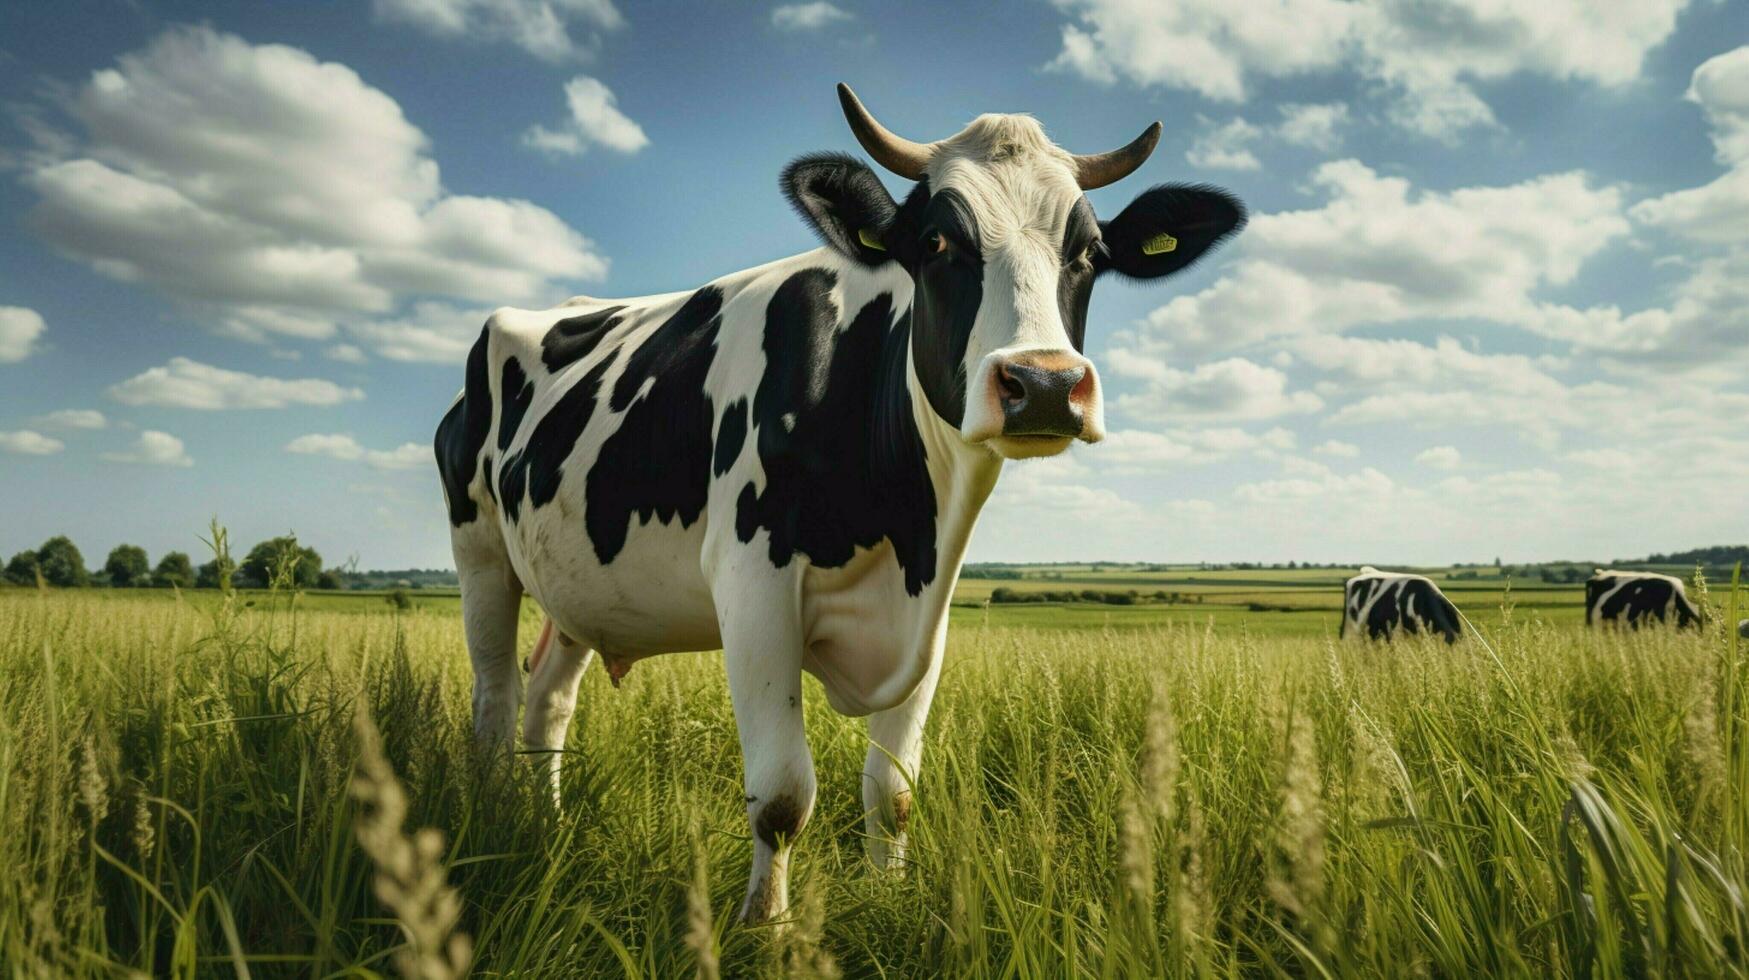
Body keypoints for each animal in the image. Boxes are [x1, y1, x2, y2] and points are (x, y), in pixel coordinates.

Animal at [435, 84, 1245, 917]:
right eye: (936, 243)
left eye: (1087, 255)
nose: (1045, 383)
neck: (900, 519)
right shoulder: (752, 585)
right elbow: (782, 794)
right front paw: (765, 924)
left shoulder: (930, 607)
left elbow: (892, 789)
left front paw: (889, 899)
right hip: (479, 551)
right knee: (494, 698)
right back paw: (498, 822)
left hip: (579, 583)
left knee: (547, 701)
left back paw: (549, 824)